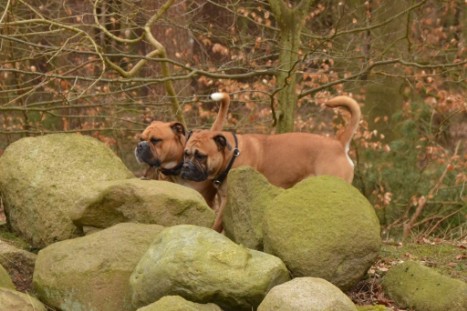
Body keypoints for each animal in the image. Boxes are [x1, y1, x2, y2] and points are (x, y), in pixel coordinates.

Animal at [182, 95, 362, 232]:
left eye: (201, 156)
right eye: (186, 153)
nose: (186, 167)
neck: (232, 154)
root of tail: (339, 144)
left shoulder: (229, 200)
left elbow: (218, 222)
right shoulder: (223, 197)